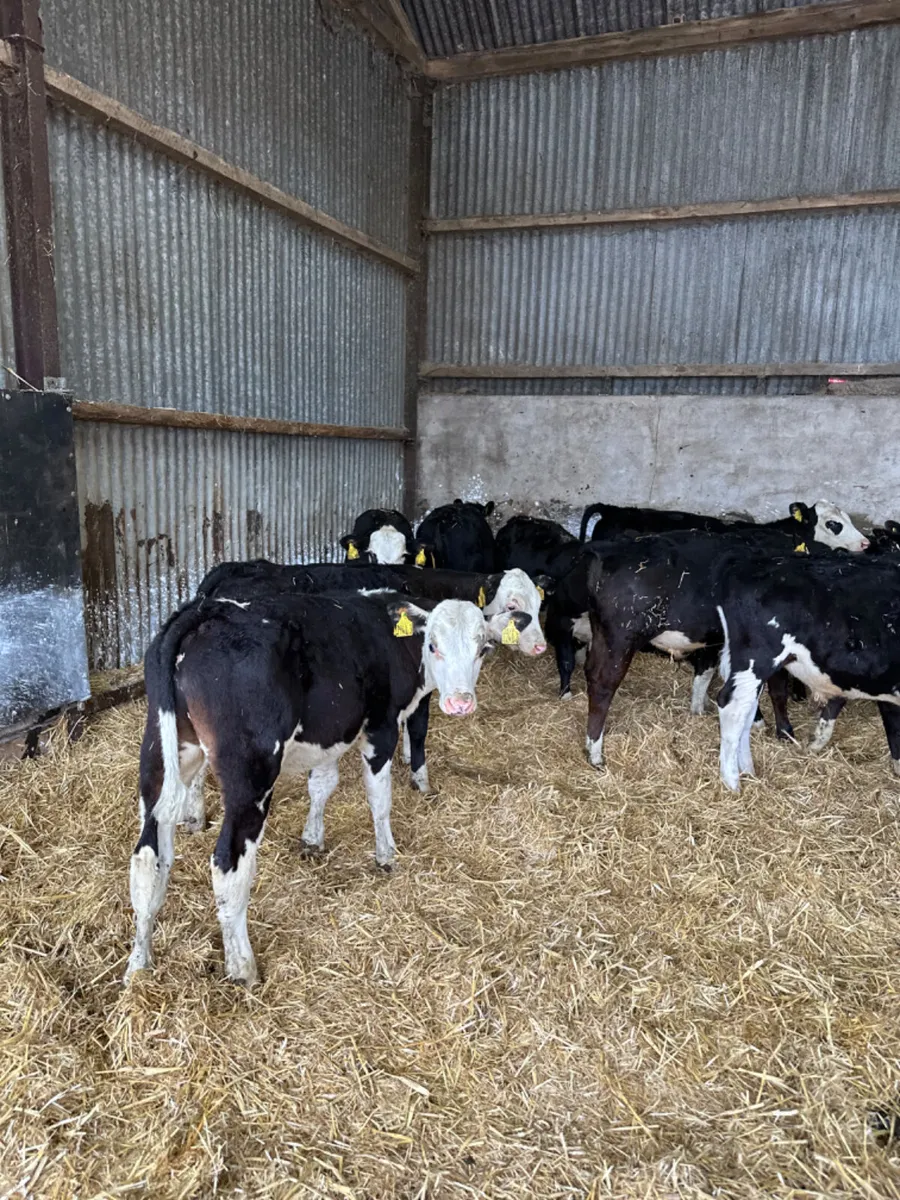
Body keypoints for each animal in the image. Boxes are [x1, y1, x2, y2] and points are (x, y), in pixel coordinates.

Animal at [125, 589, 528, 986]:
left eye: (483, 648)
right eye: (433, 645)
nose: (460, 702)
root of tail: (205, 612)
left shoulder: (330, 733)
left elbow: (322, 784)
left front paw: (312, 838)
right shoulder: (380, 728)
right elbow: (379, 799)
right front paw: (386, 854)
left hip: (161, 755)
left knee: (148, 857)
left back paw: (139, 965)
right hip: (249, 775)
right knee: (228, 864)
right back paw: (242, 968)